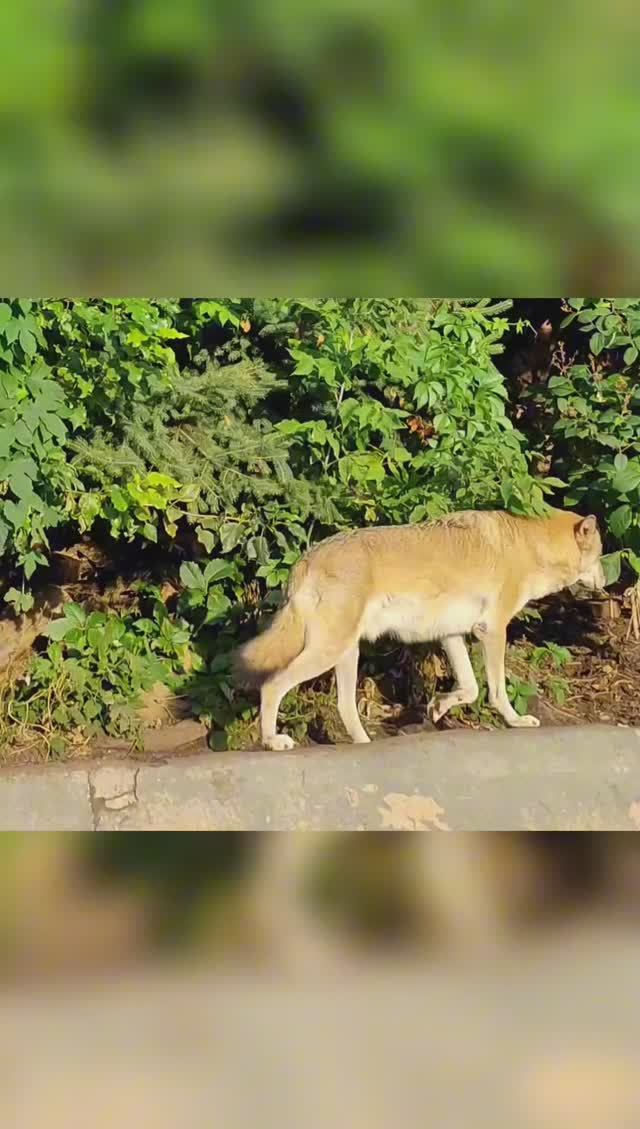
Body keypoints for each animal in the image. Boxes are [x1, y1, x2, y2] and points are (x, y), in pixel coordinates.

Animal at [237, 512, 605, 749]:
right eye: (601, 556)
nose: (605, 582)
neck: (530, 545)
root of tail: (305, 559)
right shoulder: (492, 631)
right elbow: (497, 691)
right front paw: (515, 722)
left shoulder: (451, 635)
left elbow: (470, 688)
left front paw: (438, 707)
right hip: (327, 653)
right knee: (271, 686)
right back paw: (272, 741)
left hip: (345, 653)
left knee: (344, 707)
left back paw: (364, 743)